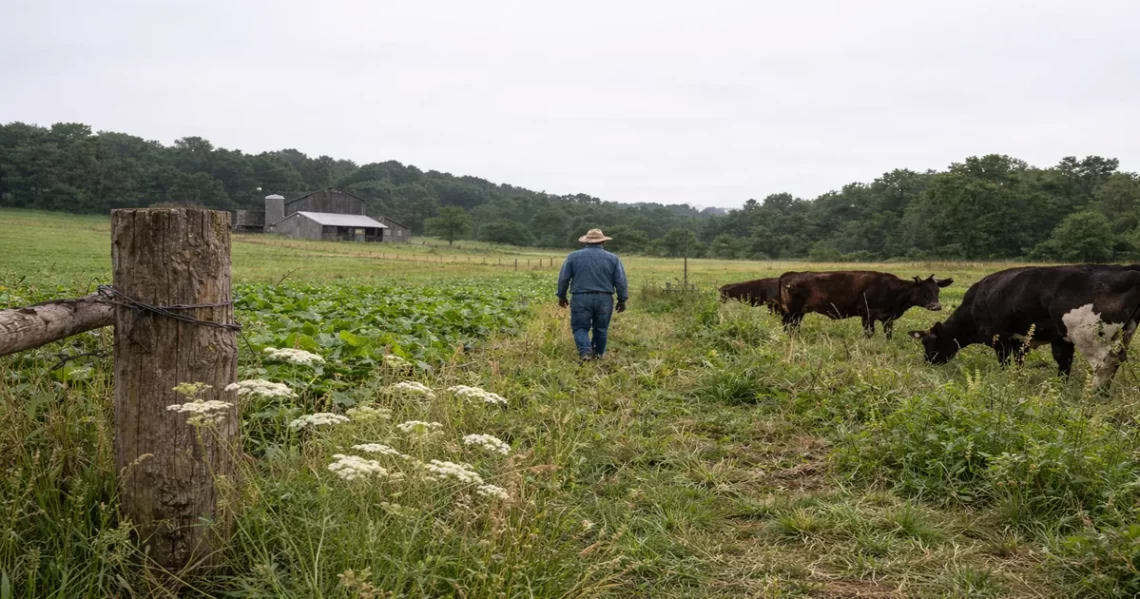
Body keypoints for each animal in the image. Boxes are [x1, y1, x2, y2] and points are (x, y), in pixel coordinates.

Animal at [779, 270, 953, 339]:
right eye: (925, 291)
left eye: (937, 290)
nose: (936, 306)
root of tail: (792, 274)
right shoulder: (867, 314)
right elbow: (869, 333)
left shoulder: (888, 318)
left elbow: (888, 335)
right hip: (793, 311)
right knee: (790, 326)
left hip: (798, 312)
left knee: (793, 327)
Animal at [908, 264, 1140, 390]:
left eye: (927, 343)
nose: (927, 362)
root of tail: (1127, 269)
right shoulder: (1045, 340)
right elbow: (1060, 365)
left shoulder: (1001, 338)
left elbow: (1005, 363)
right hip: (1124, 334)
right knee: (1117, 360)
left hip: (1088, 335)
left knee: (1105, 362)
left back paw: (1093, 394)